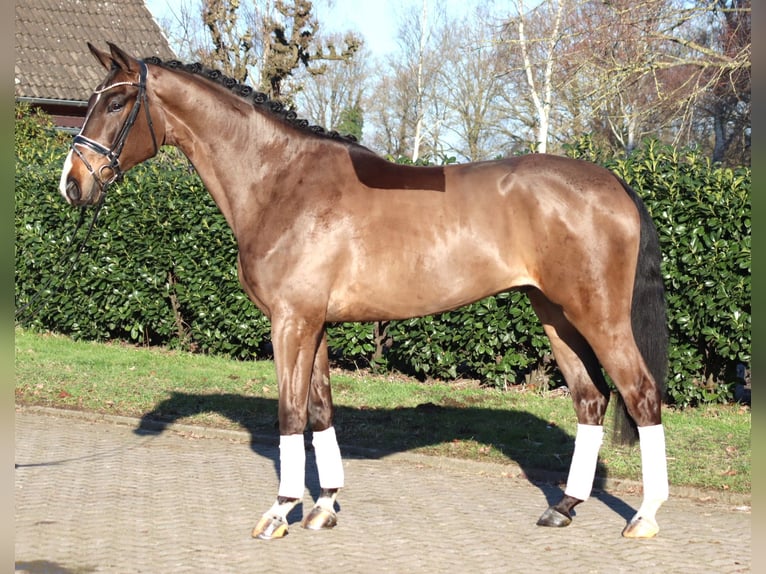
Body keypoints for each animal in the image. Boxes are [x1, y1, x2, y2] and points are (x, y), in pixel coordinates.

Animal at [59, 43, 669, 540]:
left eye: (116, 104)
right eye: (90, 100)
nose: (72, 183)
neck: (281, 182)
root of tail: (613, 184)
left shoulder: (291, 322)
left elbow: (290, 414)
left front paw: (279, 511)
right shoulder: (315, 323)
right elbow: (320, 409)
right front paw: (324, 505)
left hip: (598, 316)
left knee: (640, 395)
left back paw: (644, 516)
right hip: (554, 314)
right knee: (590, 399)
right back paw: (563, 507)